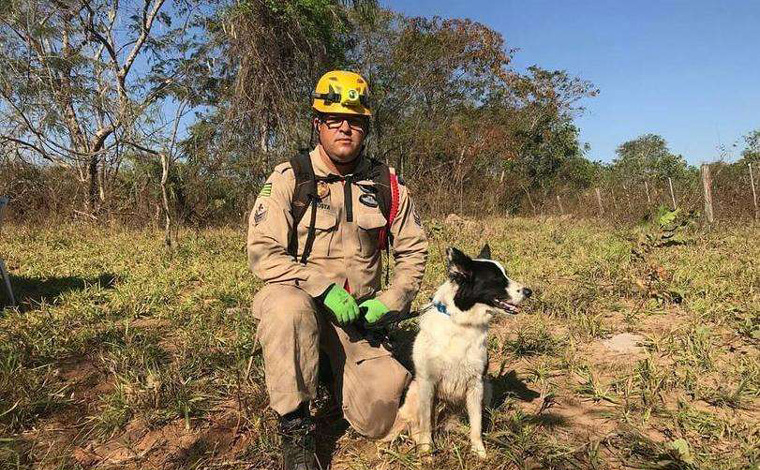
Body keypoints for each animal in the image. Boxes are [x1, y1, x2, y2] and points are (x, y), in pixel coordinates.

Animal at [388, 246, 532, 458]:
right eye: (497, 279)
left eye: (506, 274)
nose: (529, 291)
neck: (461, 324)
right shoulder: (427, 382)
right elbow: (425, 425)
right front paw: (426, 452)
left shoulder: (476, 384)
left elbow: (476, 424)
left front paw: (479, 451)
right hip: (415, 390)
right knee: (415, 424)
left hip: (487, 387)